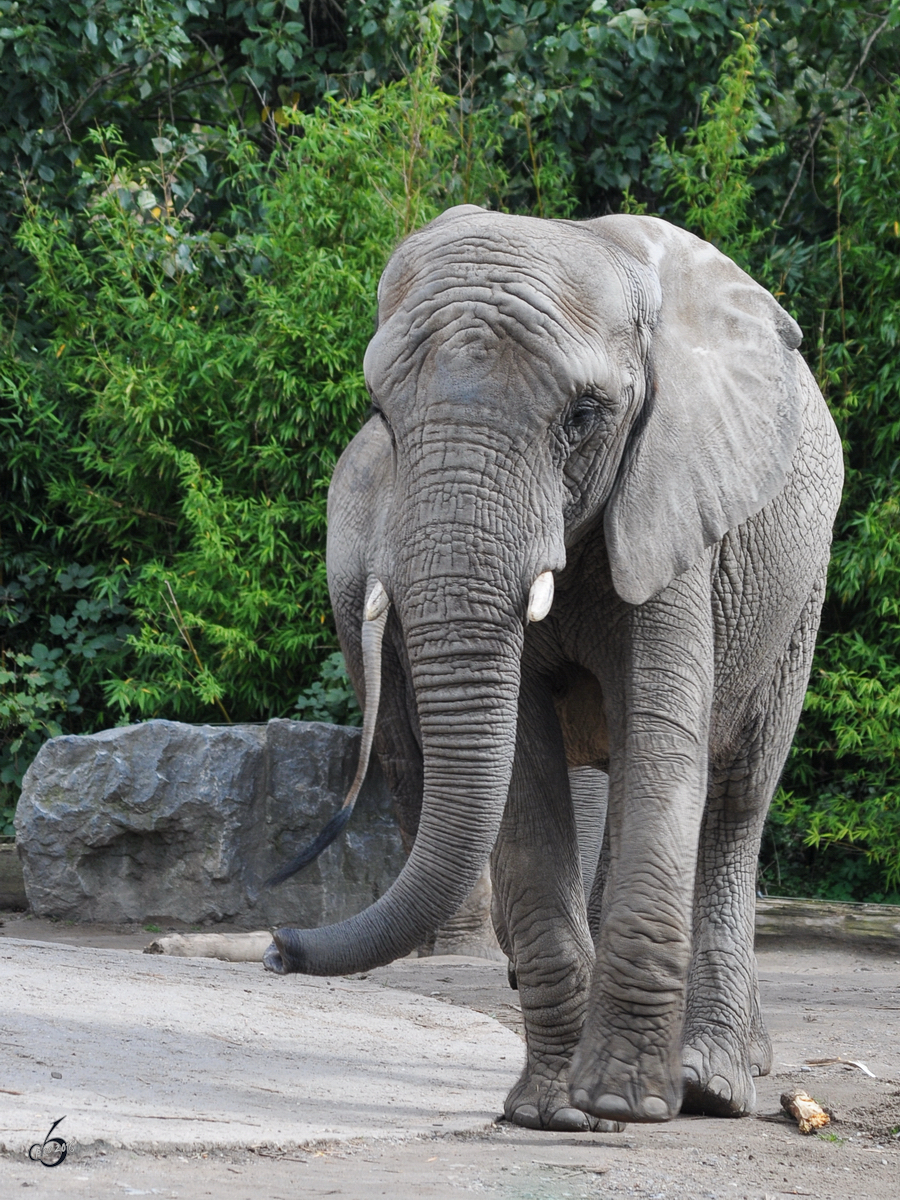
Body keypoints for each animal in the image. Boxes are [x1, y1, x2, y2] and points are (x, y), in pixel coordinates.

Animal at [266, 208, 844, 1132]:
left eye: (583, 415)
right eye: (381, 412)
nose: (277, 947)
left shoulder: (676, 507)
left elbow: (663, 746)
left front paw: (621, 1102)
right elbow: (522, 770)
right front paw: (556, 1114)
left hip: (802, 586)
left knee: (736, 795)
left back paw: (714, 1084)